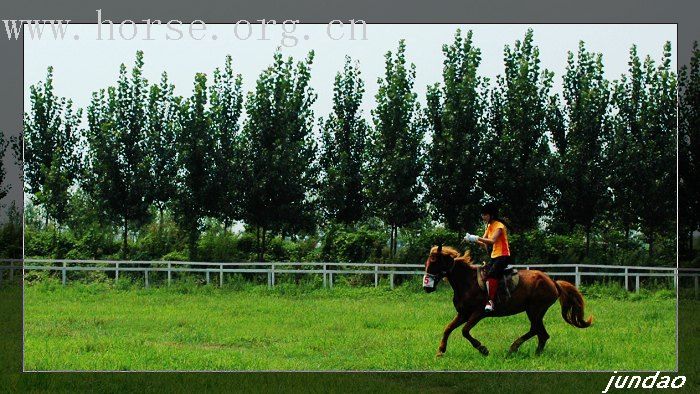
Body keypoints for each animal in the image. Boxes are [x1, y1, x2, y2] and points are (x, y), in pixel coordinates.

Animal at [422, 245, 592, 356]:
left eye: (434, 261)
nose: (426, 287)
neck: (468, 282)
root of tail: (553, 282)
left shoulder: (478, 313)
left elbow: (464, 331)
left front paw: (483, 349)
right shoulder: (463, 314)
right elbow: (448, 328)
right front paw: (441, 351)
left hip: (535, 310)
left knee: (538, 331)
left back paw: (515, 349)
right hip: (535, 311)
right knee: (540, 333)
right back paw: (529, 352)